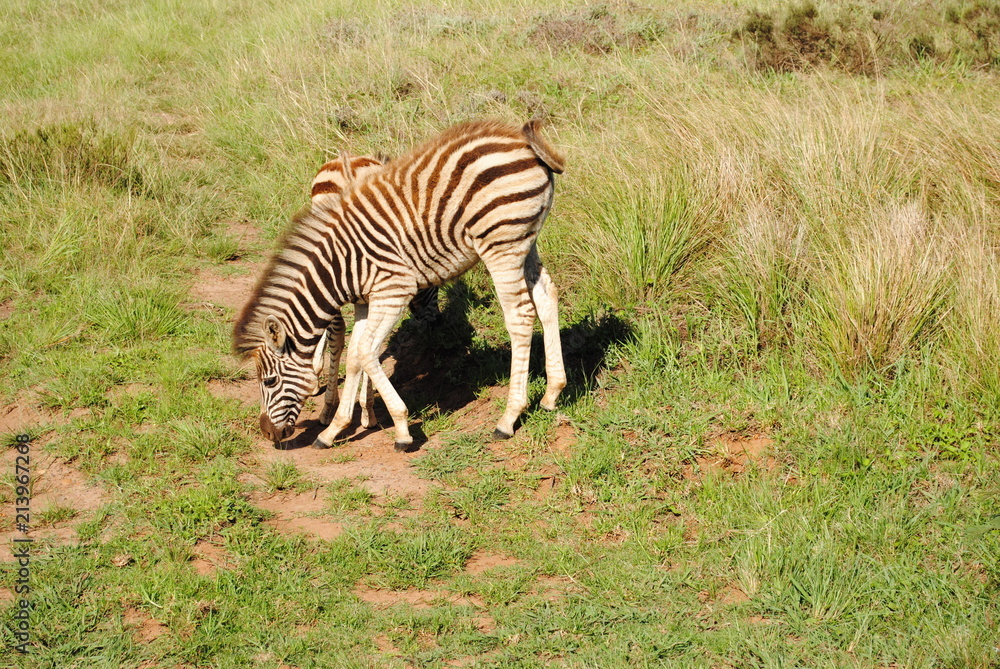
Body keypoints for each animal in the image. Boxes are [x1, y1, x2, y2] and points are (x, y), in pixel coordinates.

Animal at [233, 119, 567, 451]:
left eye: (269, 382)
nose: (268, 434)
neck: (340, 267)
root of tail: (522, 139)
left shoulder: (393, 291)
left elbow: (366, 352)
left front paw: (401, 430)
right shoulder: (366, 301)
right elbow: (355, 357)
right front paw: (334, 430)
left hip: (500, 244)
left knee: (520, 316)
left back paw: (508, 418)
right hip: (525, 239)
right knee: (546, 296)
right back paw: (552, 394)